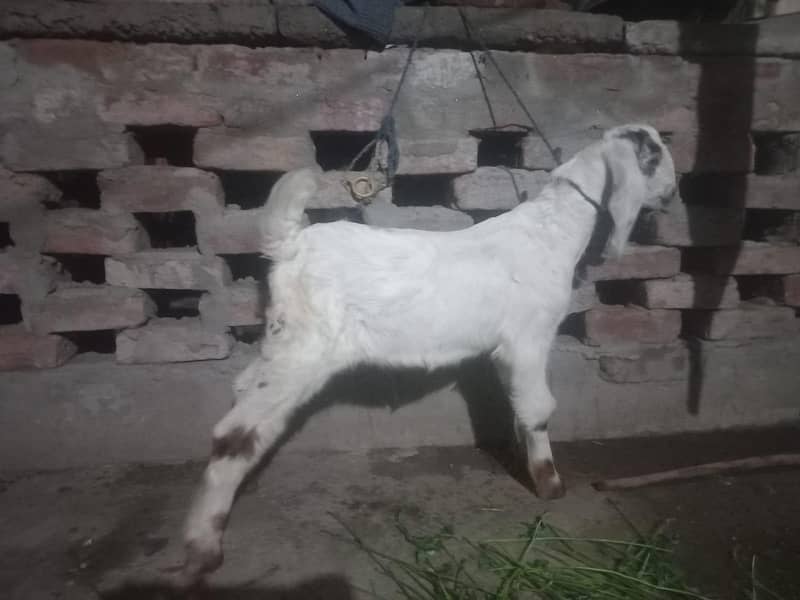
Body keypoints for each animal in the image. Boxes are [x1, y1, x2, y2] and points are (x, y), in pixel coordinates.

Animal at [179, 123, 677, 583]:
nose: (673, 195)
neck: (551, 231)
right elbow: (538, 409)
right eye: (655, 157)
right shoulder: (528, 338)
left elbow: (518, 407)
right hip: (305, 348)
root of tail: (290, 245)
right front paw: (549, 484)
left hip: (283, 340)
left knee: (243, 392)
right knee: (234, 433)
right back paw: (203, 547)